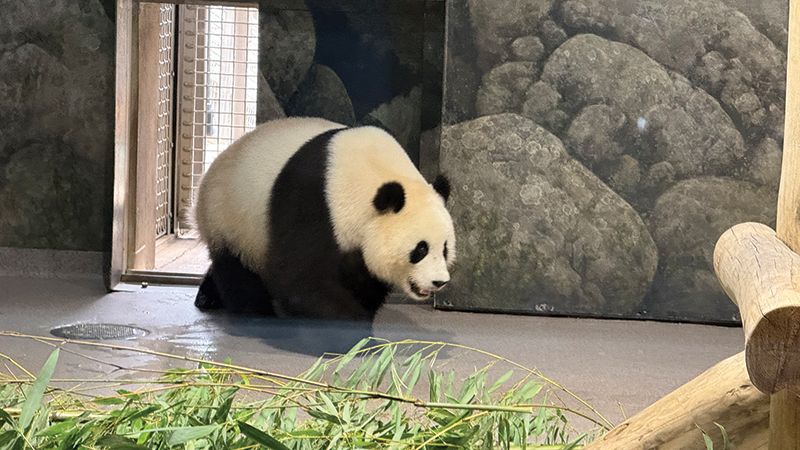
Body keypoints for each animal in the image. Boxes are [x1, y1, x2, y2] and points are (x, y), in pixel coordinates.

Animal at [193, 117, 455, 322]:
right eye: (420, 249)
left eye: (445, 249)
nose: (439, 281)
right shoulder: (312, 201)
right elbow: (300, 276)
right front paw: (349, 328)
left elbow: (364, 278)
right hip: (228, 218)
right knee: (237, 272)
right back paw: (254, 313)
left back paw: (208, 296)